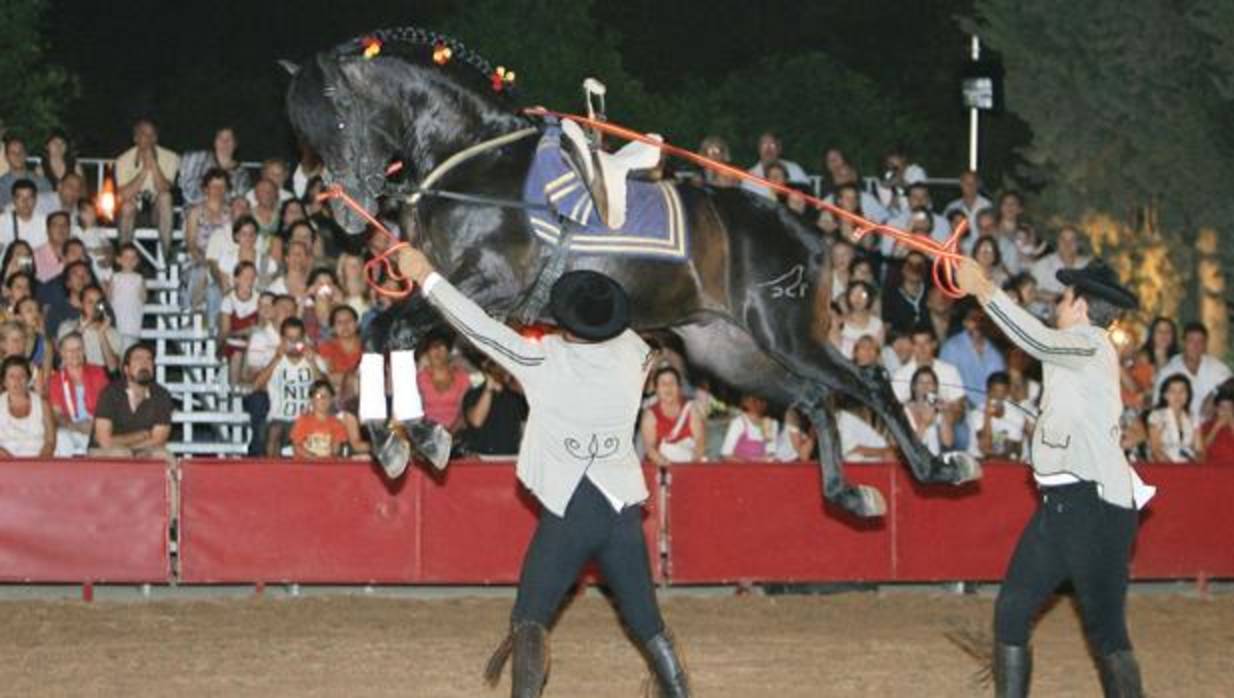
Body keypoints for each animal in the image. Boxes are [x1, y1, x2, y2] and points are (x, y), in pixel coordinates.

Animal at [282, 27, 978, 518]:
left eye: (336, 116)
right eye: (304, 132)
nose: (343, 208)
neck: (476, 160)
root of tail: (805, 230)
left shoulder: (482, 288)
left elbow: (390, 330)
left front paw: (419, 437)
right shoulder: (448, 293)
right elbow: (378, 332)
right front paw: (399, 440)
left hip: (785, 334)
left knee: (866, 382)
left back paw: (939, 468)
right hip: (726, 351)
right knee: (814, 400)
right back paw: (848, 494)